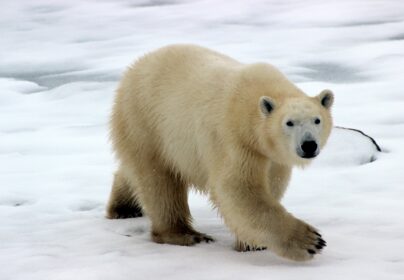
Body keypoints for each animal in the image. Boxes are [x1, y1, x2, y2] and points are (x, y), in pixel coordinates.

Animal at [105, 43, 332, 260]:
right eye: (289, 123)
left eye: (317, 120)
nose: (309, 145)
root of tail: (134, 68)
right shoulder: (235, 140)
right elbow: (237, 189)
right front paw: (310, 241)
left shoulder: (271, 156)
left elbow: (271, 184)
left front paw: (251, 243)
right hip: (145, 121)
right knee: (159, 182)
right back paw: (185, 234)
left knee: (135, 172)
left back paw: (124, 208)